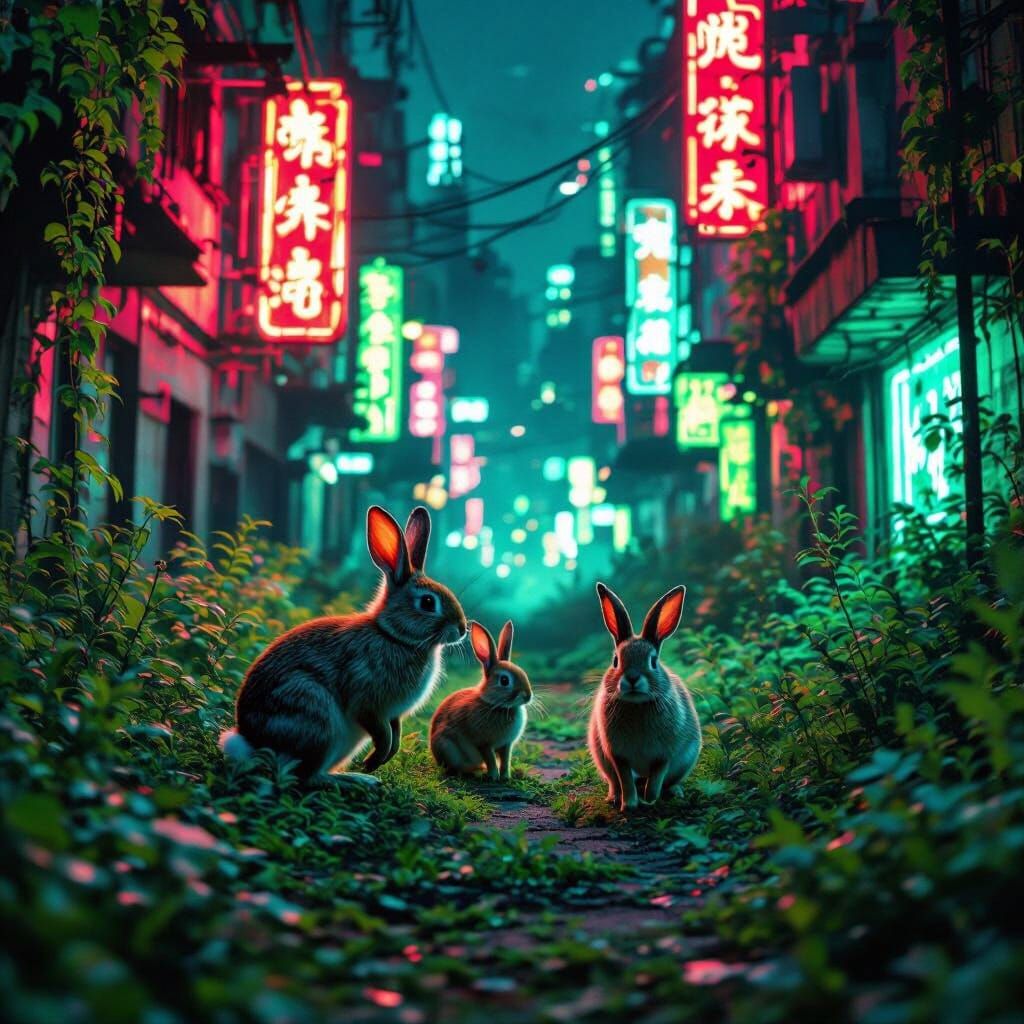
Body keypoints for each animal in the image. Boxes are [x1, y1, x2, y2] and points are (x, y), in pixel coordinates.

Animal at [219, 505, 468, 787]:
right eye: (427, 602)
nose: (462, 629)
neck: (394, 636)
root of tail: (251, 744)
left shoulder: (392, 714)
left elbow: (395, 734)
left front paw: (379, 760)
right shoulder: (367, 702)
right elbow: (382, 734)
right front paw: (374, 760)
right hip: (315, 715)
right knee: (306, 777)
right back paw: (360, 779)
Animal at [430, 619, 532, 780]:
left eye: (523, 673)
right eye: (504, 680)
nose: (528, 696)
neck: (497, 705)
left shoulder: (506, 745)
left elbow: (505, 760)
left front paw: (505, 777)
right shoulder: (483, 744)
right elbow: (491, 760)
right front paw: (494, 777)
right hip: (446, 746)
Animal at [587, 582, 701, 812]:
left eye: (653, 661)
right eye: (615, 661)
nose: (632, 678)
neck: (636, 705)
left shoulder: (664, 755)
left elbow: (656, 779)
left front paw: (649, 801)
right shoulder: (618, 755)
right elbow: (625, 781)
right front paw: (629, 806)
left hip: (686, 760)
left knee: (669, 781)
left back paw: (675, 793)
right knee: (616, 782)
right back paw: (613, 798)